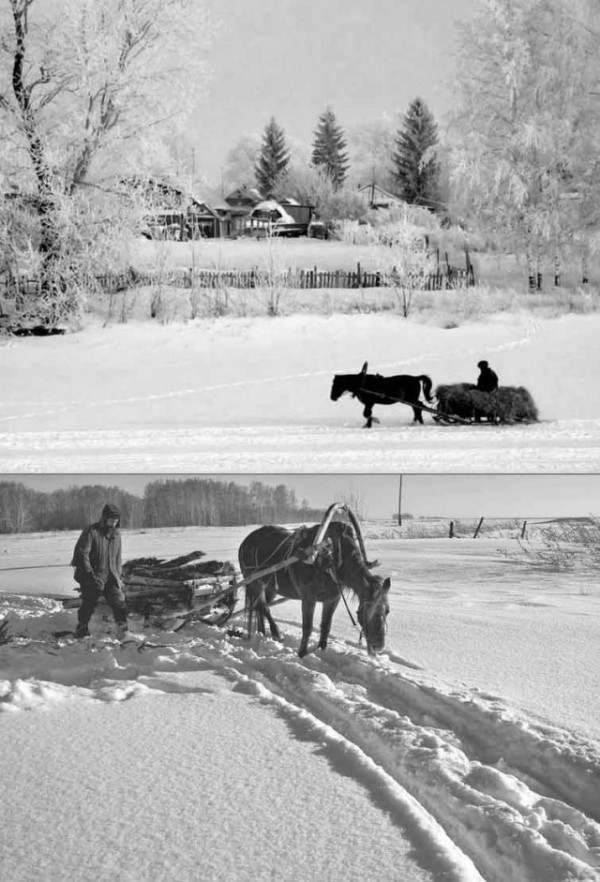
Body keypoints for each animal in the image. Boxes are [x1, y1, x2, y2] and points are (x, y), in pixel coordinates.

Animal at [238, 519, 390, 658]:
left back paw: (262, 633)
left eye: (387, 611)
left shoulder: (332, 599)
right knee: (263, 606)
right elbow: (307, 627)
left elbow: (326, 626)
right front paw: (302, 653)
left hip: (270, 587)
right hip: (255, 582)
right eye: (368, 610)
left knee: (259, 608)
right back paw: (276, 633)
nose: (379, 646)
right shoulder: (308, 598)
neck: (332, 560)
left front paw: (321, 649)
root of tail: (245, 542)